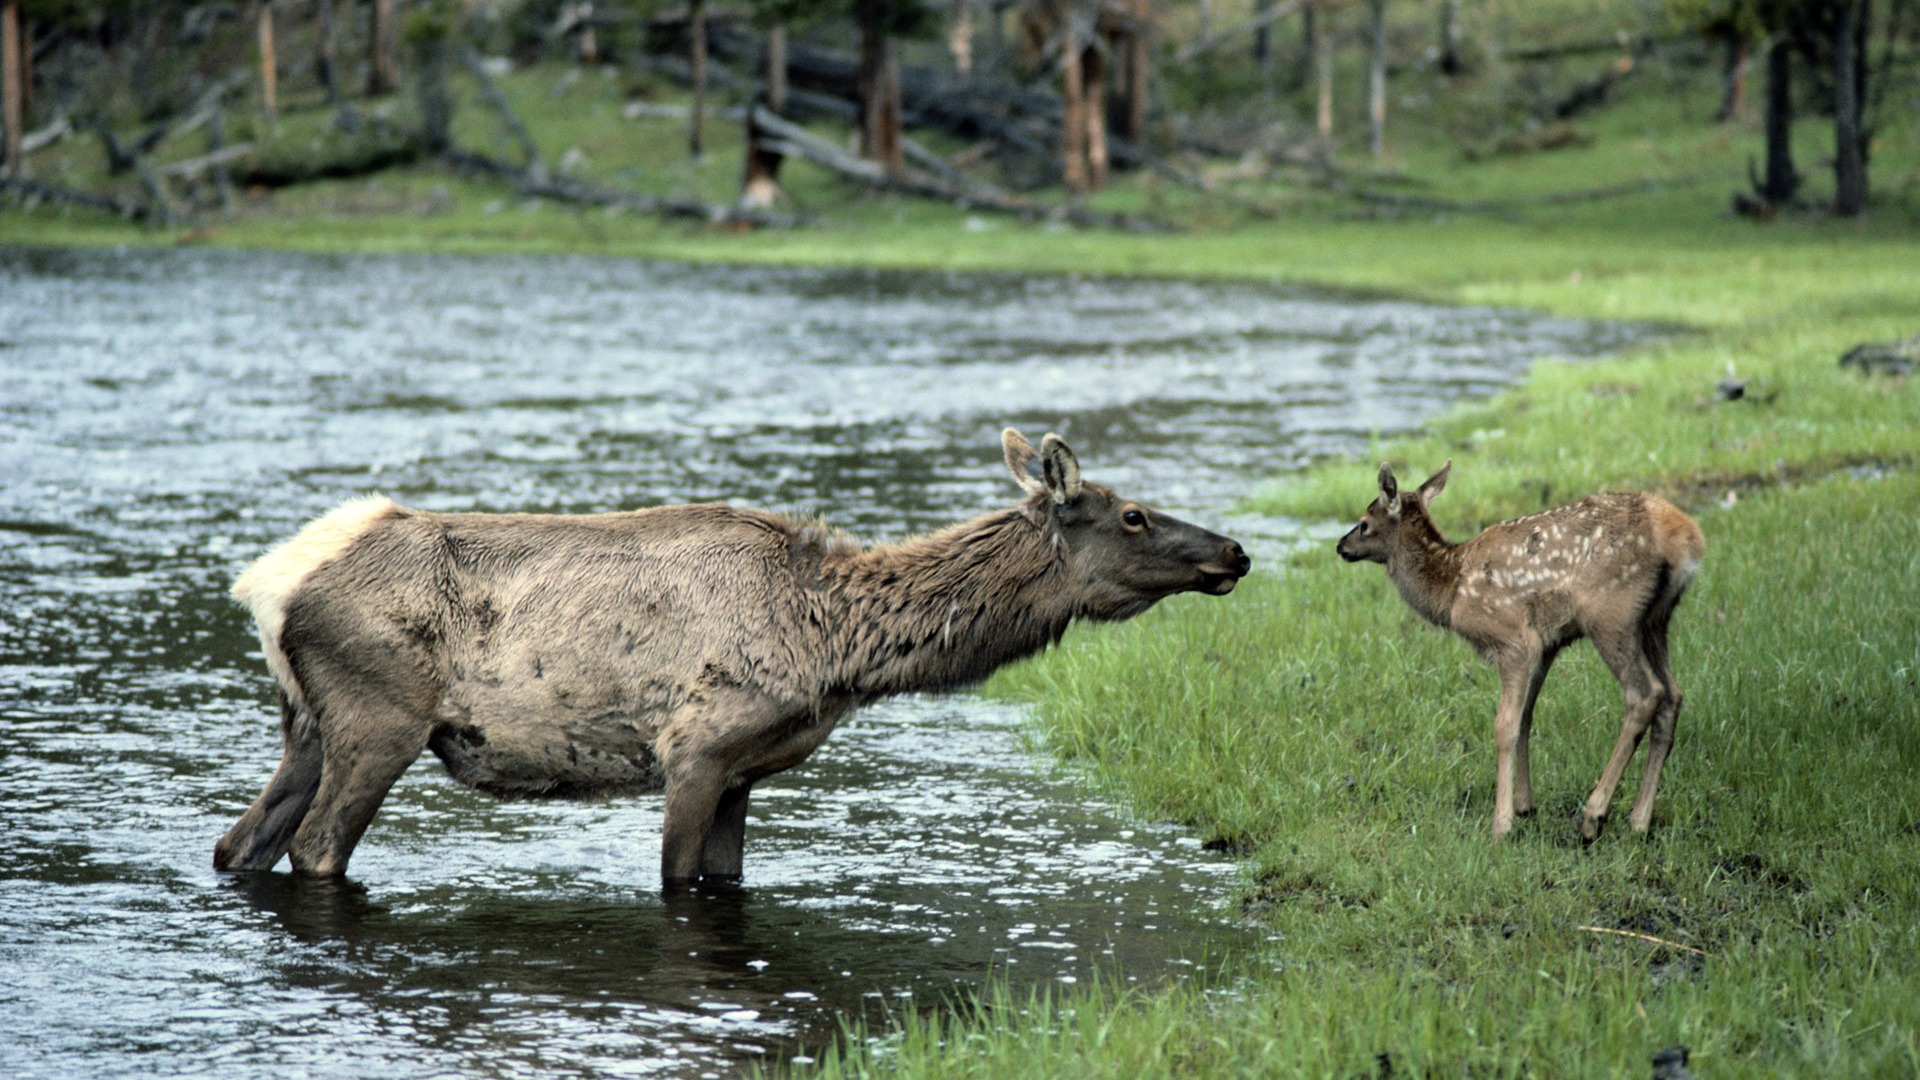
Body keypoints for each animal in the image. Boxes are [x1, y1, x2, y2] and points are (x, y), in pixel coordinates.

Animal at [217, 426, 1251, 883]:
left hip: (307, 724)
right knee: (313, 848)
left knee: (240, 845)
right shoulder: (697, 748)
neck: (838, 647)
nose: (1236, 551)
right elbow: (678, 879)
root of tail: (269, 583)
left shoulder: (746, 770)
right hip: (379, 717)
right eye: (1134, 514)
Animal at [1336, 457, 1712, 837]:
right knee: (1672, 695)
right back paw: (1639, 820)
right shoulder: (1546, 645)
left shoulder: (1512, 640)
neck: (1451, 588)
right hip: (1655, 618)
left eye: (1364, 523)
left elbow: (1505, 725)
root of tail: (1685, 537)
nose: (1341, 546)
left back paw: (1594, 815)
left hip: (1611, 613)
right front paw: (1525, 805)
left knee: (1645, 694)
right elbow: (1526, 717)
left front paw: (1502, 823)